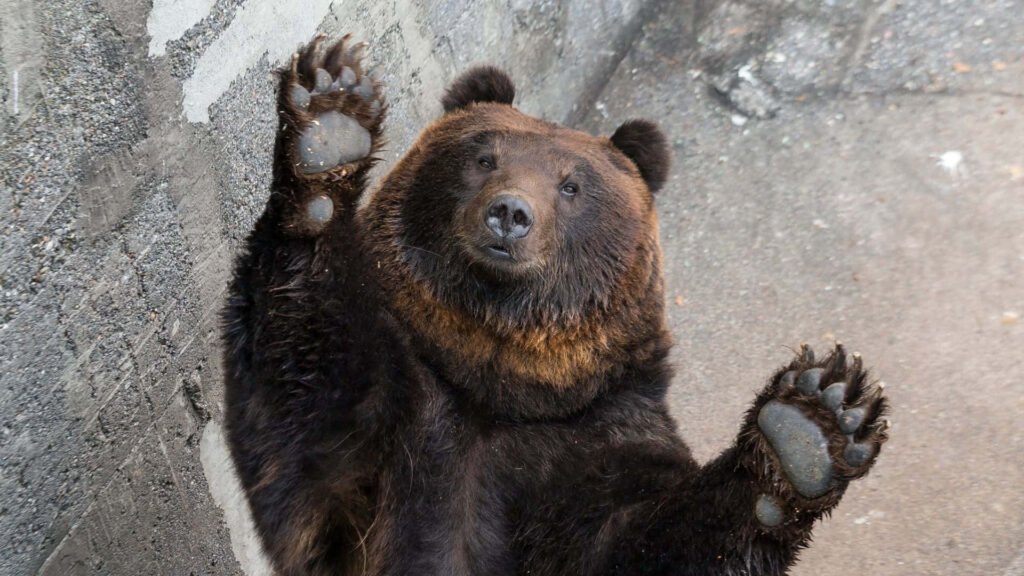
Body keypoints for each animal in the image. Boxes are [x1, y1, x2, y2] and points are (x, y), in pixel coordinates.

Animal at [222, 34, 889, 576]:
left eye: (571, 185)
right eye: (483, 156)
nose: (510, 213)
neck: (498, 382)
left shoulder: (595, 437)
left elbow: (642, 537)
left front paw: (814, 422)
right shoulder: (392, 426)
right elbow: (307, 404)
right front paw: (331, 119)